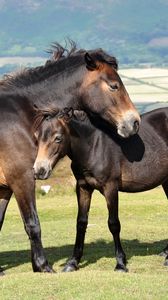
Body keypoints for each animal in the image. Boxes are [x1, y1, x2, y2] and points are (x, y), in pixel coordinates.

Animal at [0, 42, 140, 274]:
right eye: (114, 86)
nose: (134, 122)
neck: (21, 116)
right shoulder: (22, 179)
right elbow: (33, 223)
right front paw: (43, 266)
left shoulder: (4, 187)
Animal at [33, 107, 168, 272]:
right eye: (37, 137)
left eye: (57, 138)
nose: (39, 170)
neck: (94, 146)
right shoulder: (83, 187)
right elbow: (81, 223)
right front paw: (72, 262)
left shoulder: (110, 188)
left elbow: (114, 224)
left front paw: (120, 263)